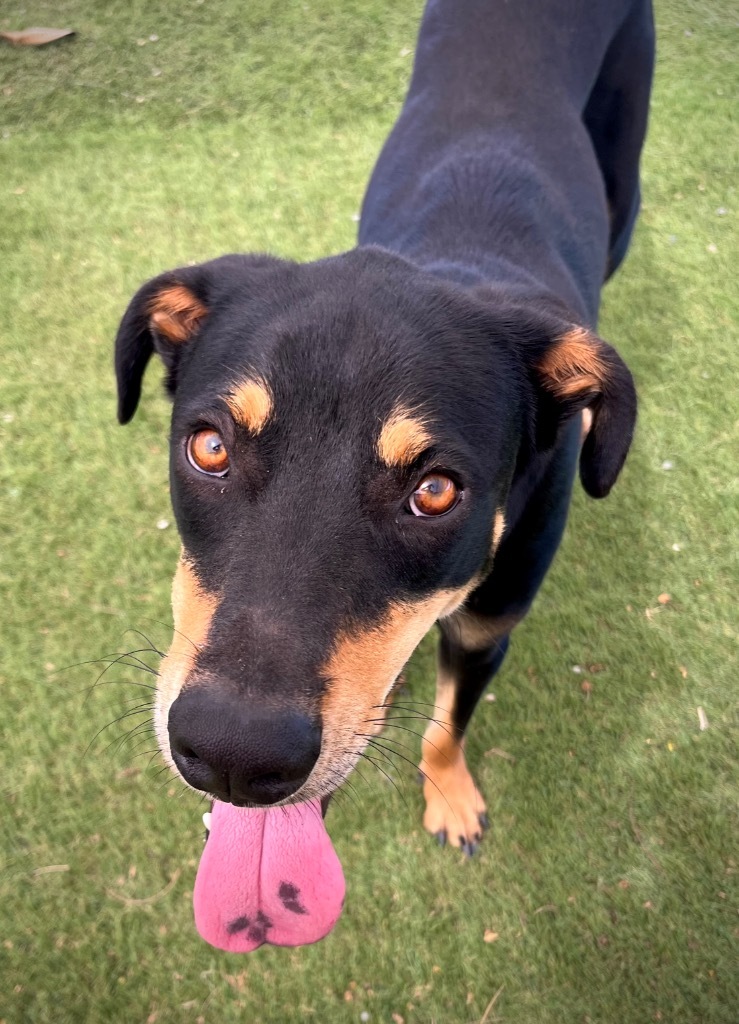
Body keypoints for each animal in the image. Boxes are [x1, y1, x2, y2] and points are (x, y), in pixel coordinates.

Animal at [109, 0, 650, 950]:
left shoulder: (487, 628)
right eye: (208, 447)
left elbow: (445, 726)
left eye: (434, 491)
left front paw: (451, 798)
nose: (234, 755)